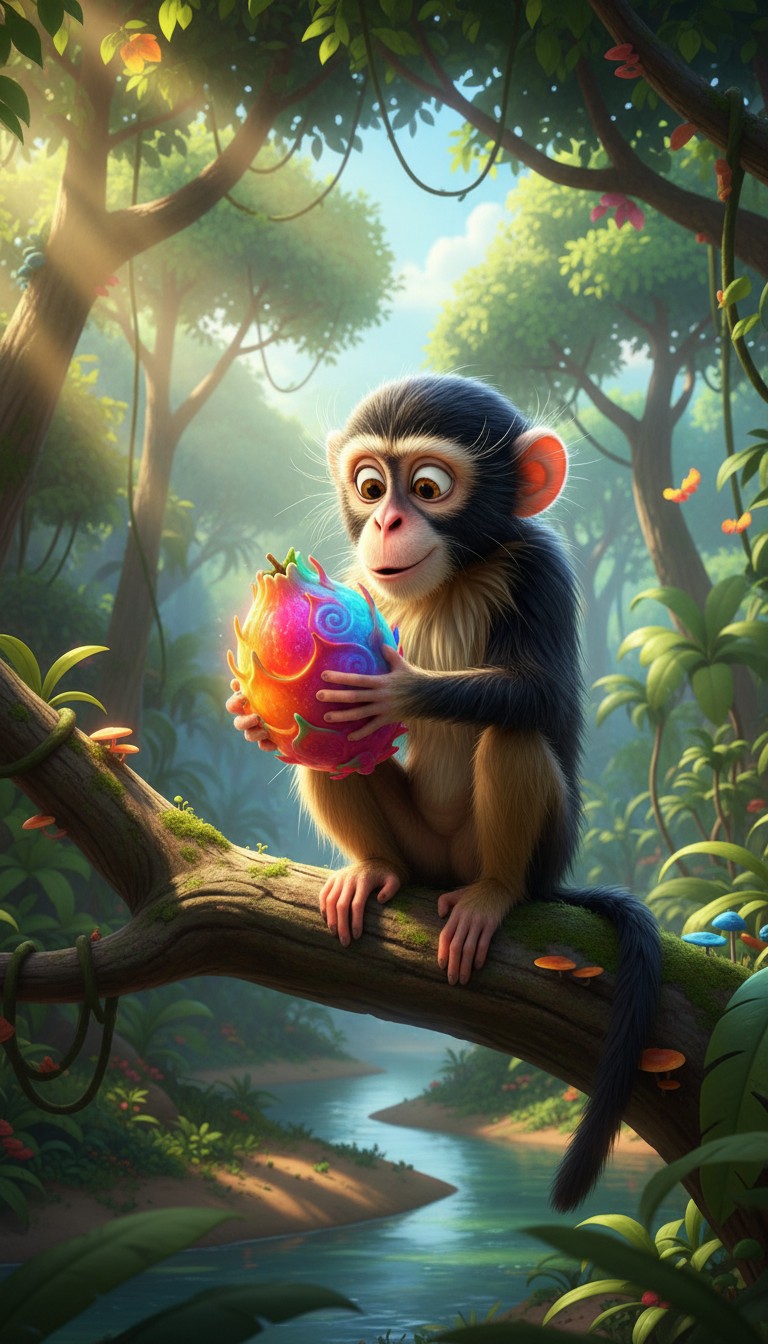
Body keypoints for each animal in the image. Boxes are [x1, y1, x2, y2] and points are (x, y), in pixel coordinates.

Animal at [227, 373, 661, 1211]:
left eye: (427, 487)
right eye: (370, 487)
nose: (387, 520)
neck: (453, 578)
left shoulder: (542, 569)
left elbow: (542, 696)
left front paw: (396, 690)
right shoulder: (358, 579)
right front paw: (251, 717)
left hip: (530, 854)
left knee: (513, 737)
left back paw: (492, 896)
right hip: (418, 848)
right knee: (329, 760)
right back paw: (374, 870)